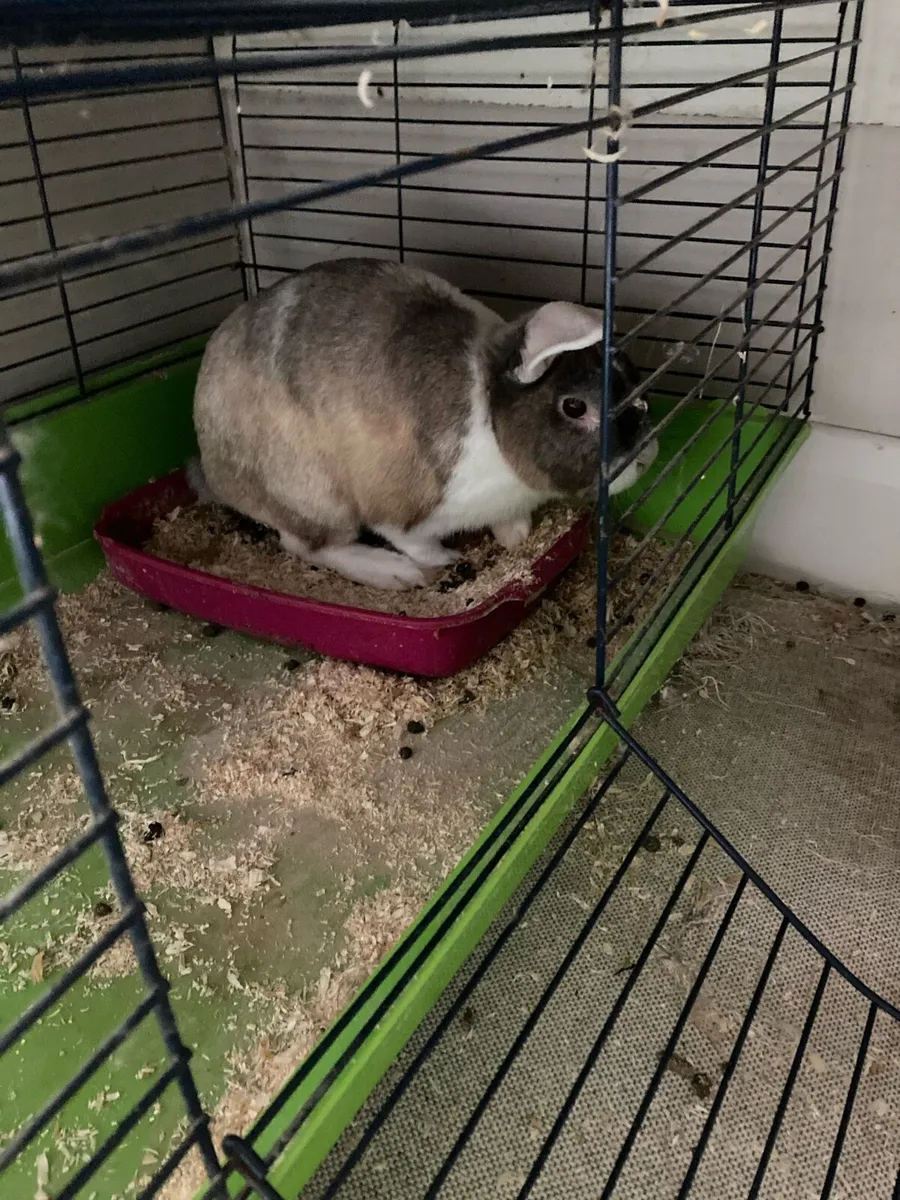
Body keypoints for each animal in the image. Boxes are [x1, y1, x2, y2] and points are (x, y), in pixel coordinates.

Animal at [191, 257, 658, 590]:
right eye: (574, 407)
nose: (646, 458)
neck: (492, 423)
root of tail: (210, 463)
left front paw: (515, 534)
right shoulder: (404, 507)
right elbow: (412, 539)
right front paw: (440, 561)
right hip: (314, 498)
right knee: (307, 545)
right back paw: (391, 572)